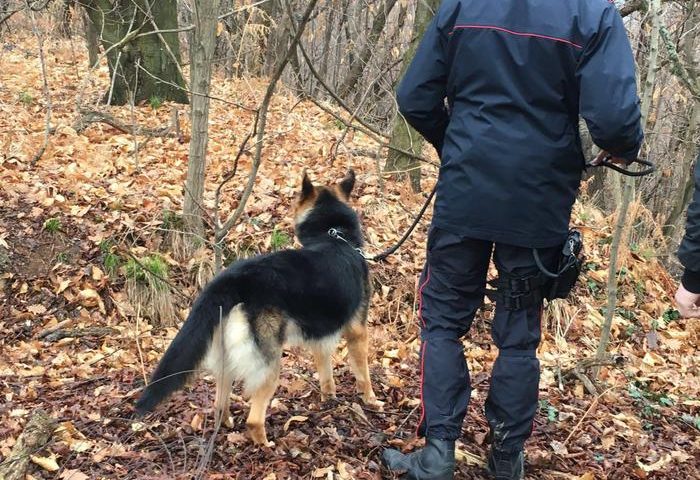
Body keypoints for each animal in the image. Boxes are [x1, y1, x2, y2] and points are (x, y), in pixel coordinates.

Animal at [137, 170, 378, 446]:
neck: (334, 236)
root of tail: (234, 279)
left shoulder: (321, 337)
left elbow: (326, 372)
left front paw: (329, 399)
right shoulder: (357, 332)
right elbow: (363, 373)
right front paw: (371, 400)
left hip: (226, 357)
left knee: (220, 403)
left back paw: (225, 424)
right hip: (269, 364)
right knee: (253, 419)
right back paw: (265, 444)